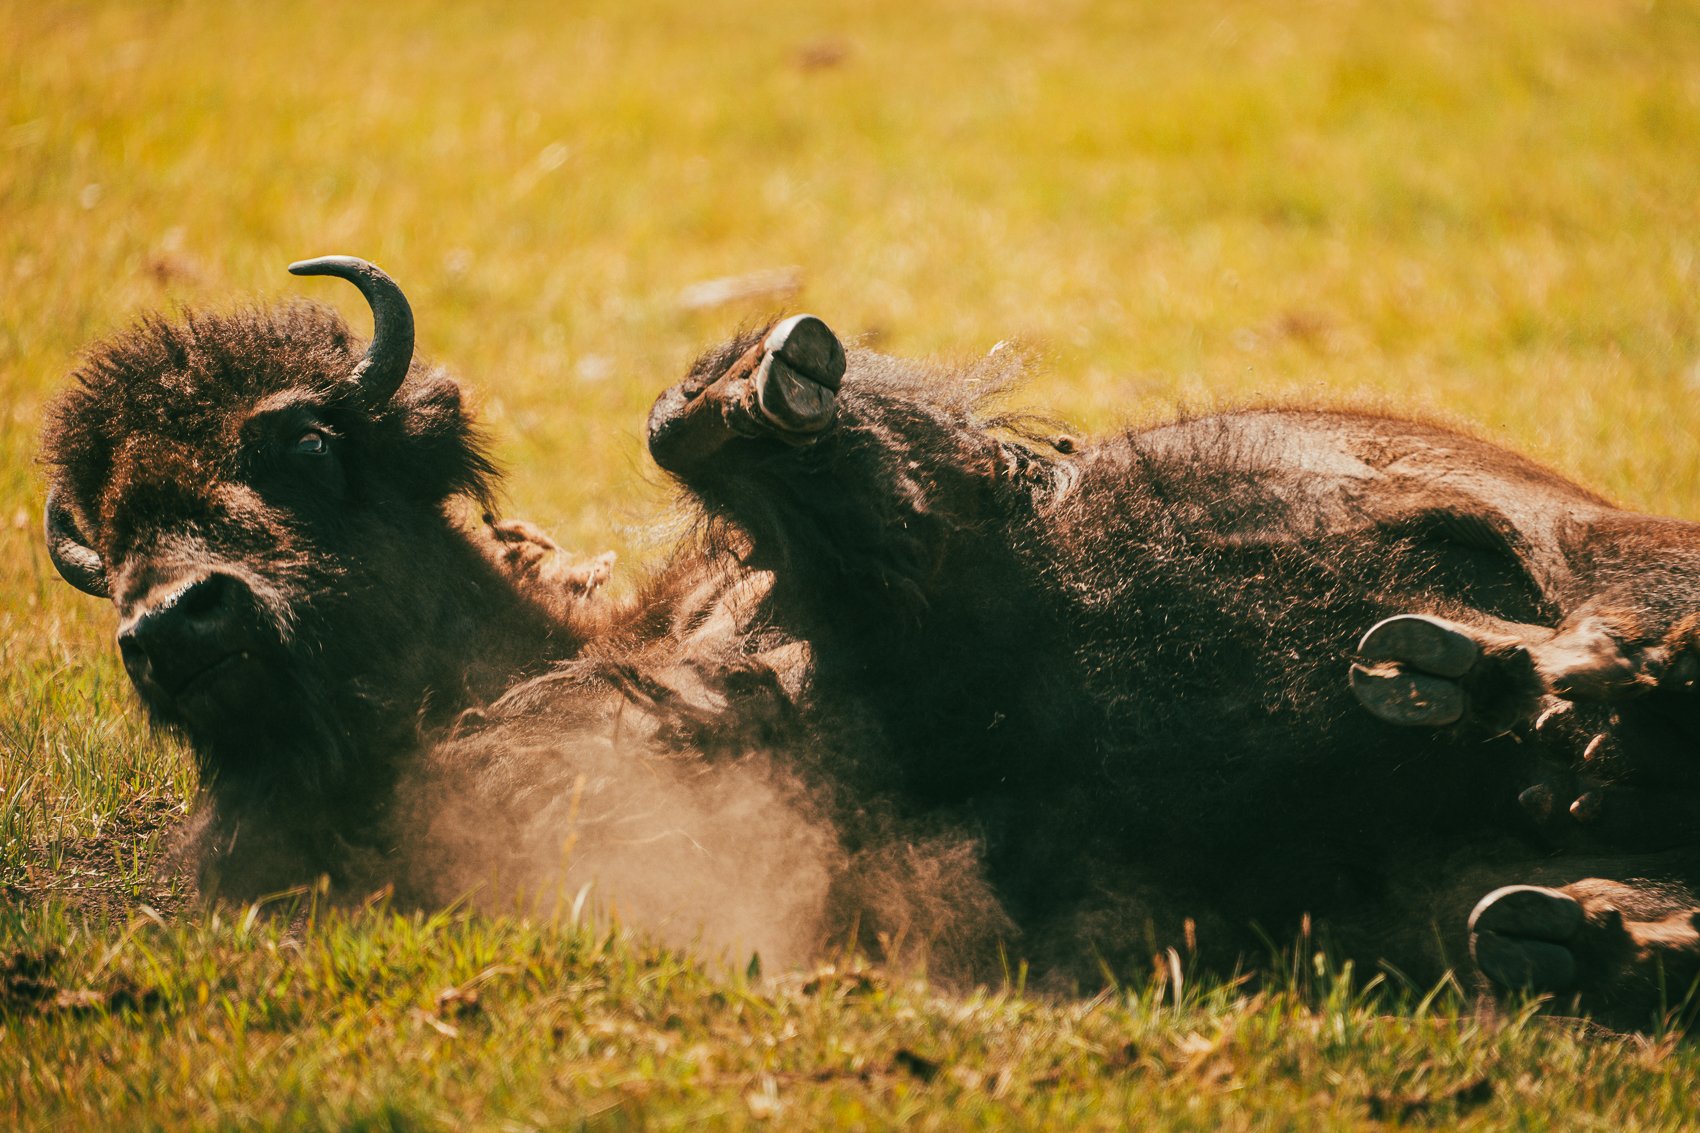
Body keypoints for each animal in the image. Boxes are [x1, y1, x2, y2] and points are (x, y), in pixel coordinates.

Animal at [42, 256, 1700, 1028]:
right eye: (111, 536)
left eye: (306, 449)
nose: (173, 620)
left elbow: (728, 443)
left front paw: (773, 369)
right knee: (1555, 898)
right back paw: (1534, 815)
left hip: (1608, 548)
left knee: (1609, 609)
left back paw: (1529, 681)